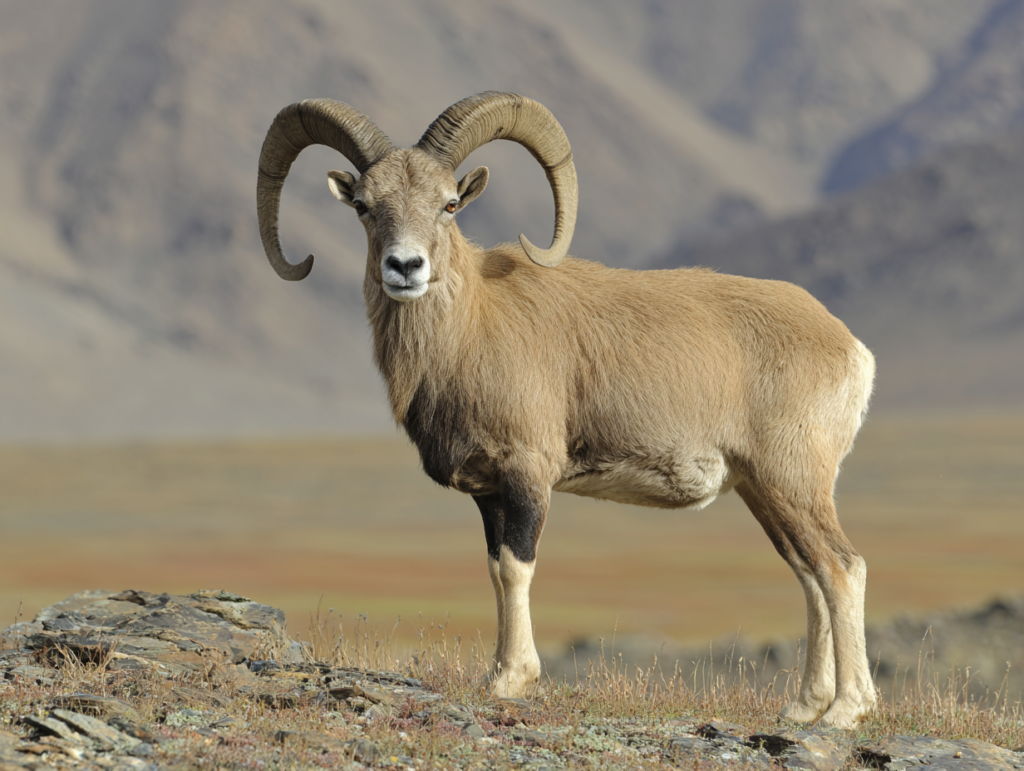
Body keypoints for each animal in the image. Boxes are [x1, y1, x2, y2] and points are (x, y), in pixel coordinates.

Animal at [256, 91, 878, 727]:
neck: (474, 327)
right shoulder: (489, 493)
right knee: (809, 574)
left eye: (449, 204)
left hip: (792, 482)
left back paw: (845, 711)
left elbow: (517, 566)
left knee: (841, 568)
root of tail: (850, 348)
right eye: (363, 205)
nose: (405, 268)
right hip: (766, 492)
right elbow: (495, 569)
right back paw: (802, 708)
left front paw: (511, 679)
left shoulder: (528, 474)